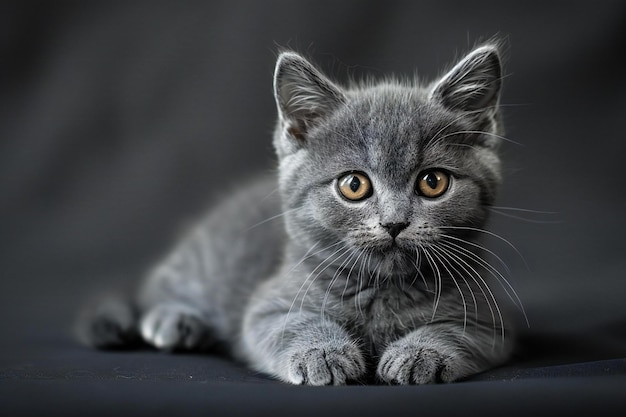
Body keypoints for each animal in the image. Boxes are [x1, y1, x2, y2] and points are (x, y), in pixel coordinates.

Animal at [77, 42, 516, 384]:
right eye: (354, 185)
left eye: (433, 182)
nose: (394, 223)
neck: (382, 290)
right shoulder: (266, 306)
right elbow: (292, 322)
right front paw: (322, 353)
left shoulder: (490, 322)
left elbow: (453, 331)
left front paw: (420, 353)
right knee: (157, 286)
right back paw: (173, 320)